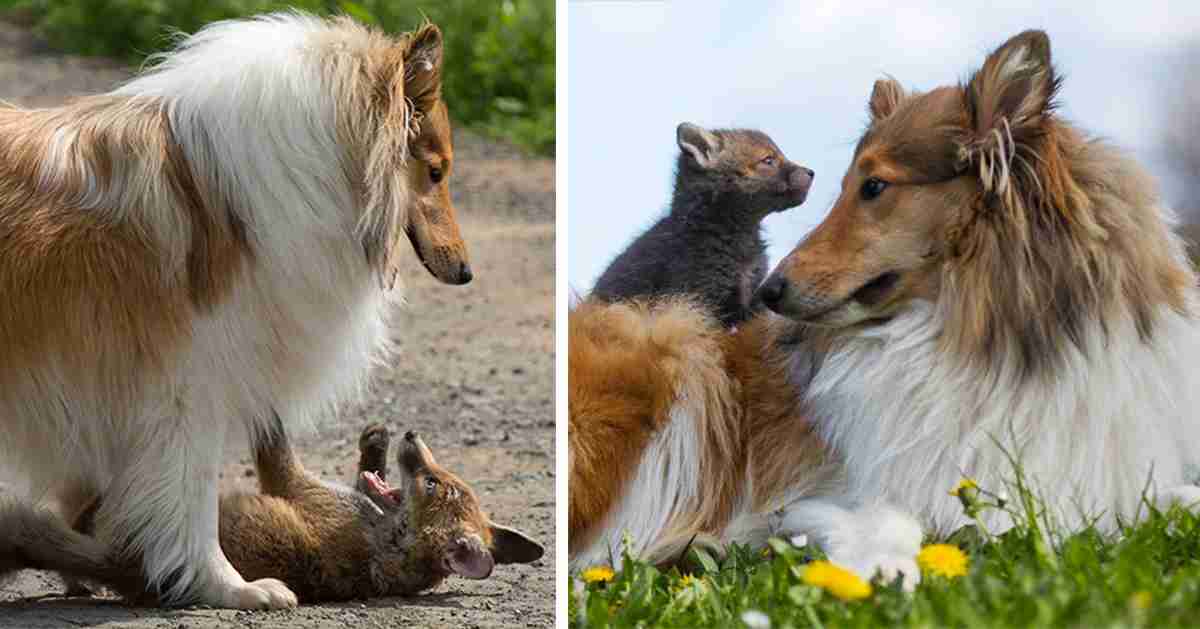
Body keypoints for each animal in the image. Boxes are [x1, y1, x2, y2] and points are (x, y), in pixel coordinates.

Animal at [0, 419, 544, 604]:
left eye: (431, 483)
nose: (410, 436)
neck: (386, 544)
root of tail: (134, 572)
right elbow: (364, 472)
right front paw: (374, 446)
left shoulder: (292, 483)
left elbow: (274, 442)